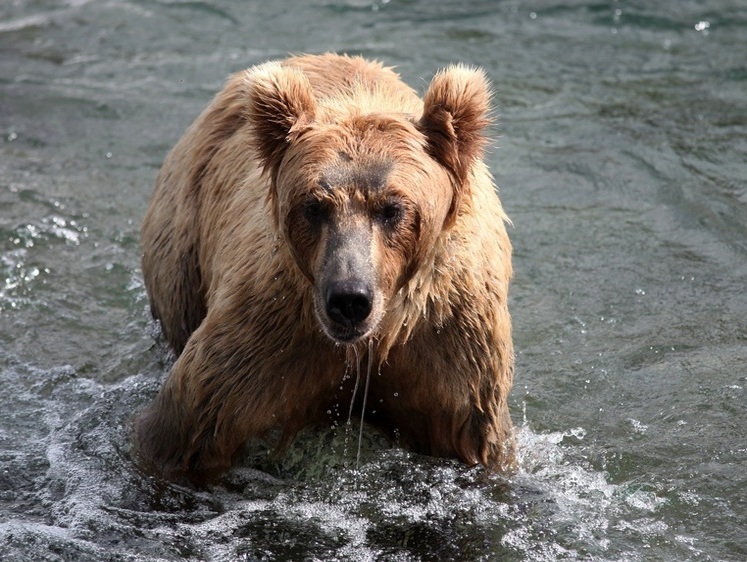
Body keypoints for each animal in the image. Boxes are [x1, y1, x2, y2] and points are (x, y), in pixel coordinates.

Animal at [136, 53, 515, 484]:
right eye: (313, 206)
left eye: (393, 208)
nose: (349, 299)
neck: (371, 342)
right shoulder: (270, 333)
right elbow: (185, 429)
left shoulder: (450, 345)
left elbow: (473, 440)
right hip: (183, 242)